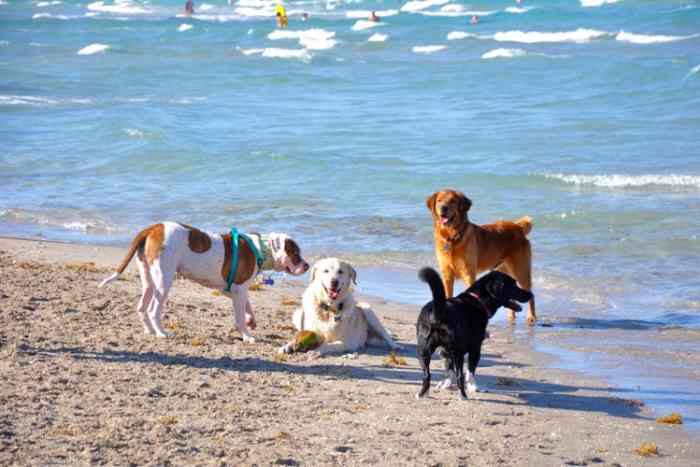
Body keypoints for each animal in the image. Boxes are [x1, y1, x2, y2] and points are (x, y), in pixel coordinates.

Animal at [98, 221, 308, 342]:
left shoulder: (232, 289)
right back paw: (161, 332)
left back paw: (149, 330)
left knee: (142, 306)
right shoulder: (239, 289)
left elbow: (247, 306)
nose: (307, 265)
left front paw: (251, 320)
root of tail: (154, 227)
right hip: (163, 279)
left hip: (148, 277)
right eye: (295, 253)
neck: (261, 248)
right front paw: (247, 335)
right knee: (152, 309)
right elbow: (239, 317)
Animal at [412, 268, 532, 400]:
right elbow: (470, 372)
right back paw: (463, 396)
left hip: (423, 350)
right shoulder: (475, 348)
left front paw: (446, 384)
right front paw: (473, 388)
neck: (478, 300)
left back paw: (422, 393)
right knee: (460, 376)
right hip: (457, 353)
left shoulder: (445, 352)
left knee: (426, 375)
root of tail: (439, 310)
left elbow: (449, 369)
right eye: (513, 285)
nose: (531, 295)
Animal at [426, 190, 536, 326]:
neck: (452, 237)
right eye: (439, 200)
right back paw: (511, 317)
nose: (443, 208)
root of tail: (518, 227)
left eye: (452, 201)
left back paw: (531, 317)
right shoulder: (447, 275)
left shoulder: (468, 274)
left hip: (521, 271)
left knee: (531, 295)